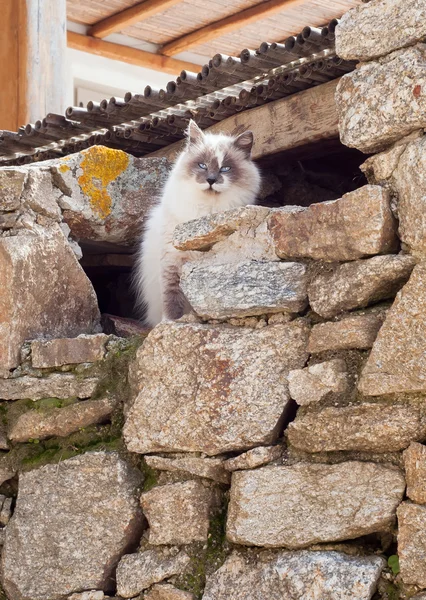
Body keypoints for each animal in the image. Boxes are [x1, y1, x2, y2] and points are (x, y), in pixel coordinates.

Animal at [133, 118, 262, 328]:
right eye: (202, 165)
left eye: (225, 168)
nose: (211, 180)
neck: (207, 209)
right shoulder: (172, 259)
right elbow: (172, 295)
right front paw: (172, 322)